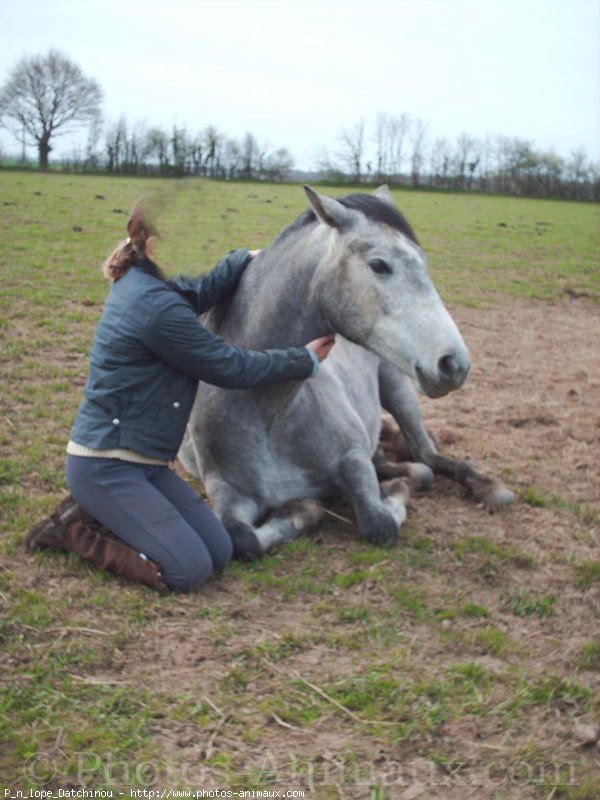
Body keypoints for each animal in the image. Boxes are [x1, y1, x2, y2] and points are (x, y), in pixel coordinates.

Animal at [177, 188, 510, 564]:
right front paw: (301, 509)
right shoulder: (227, 491)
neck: (266, 412)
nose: (454, 363)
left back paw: (486, 486)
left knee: (426, 458)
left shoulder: (353, 460)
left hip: (398, 389)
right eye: (379, 265)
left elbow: (381, 525)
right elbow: (241, 541)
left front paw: (392, 492)